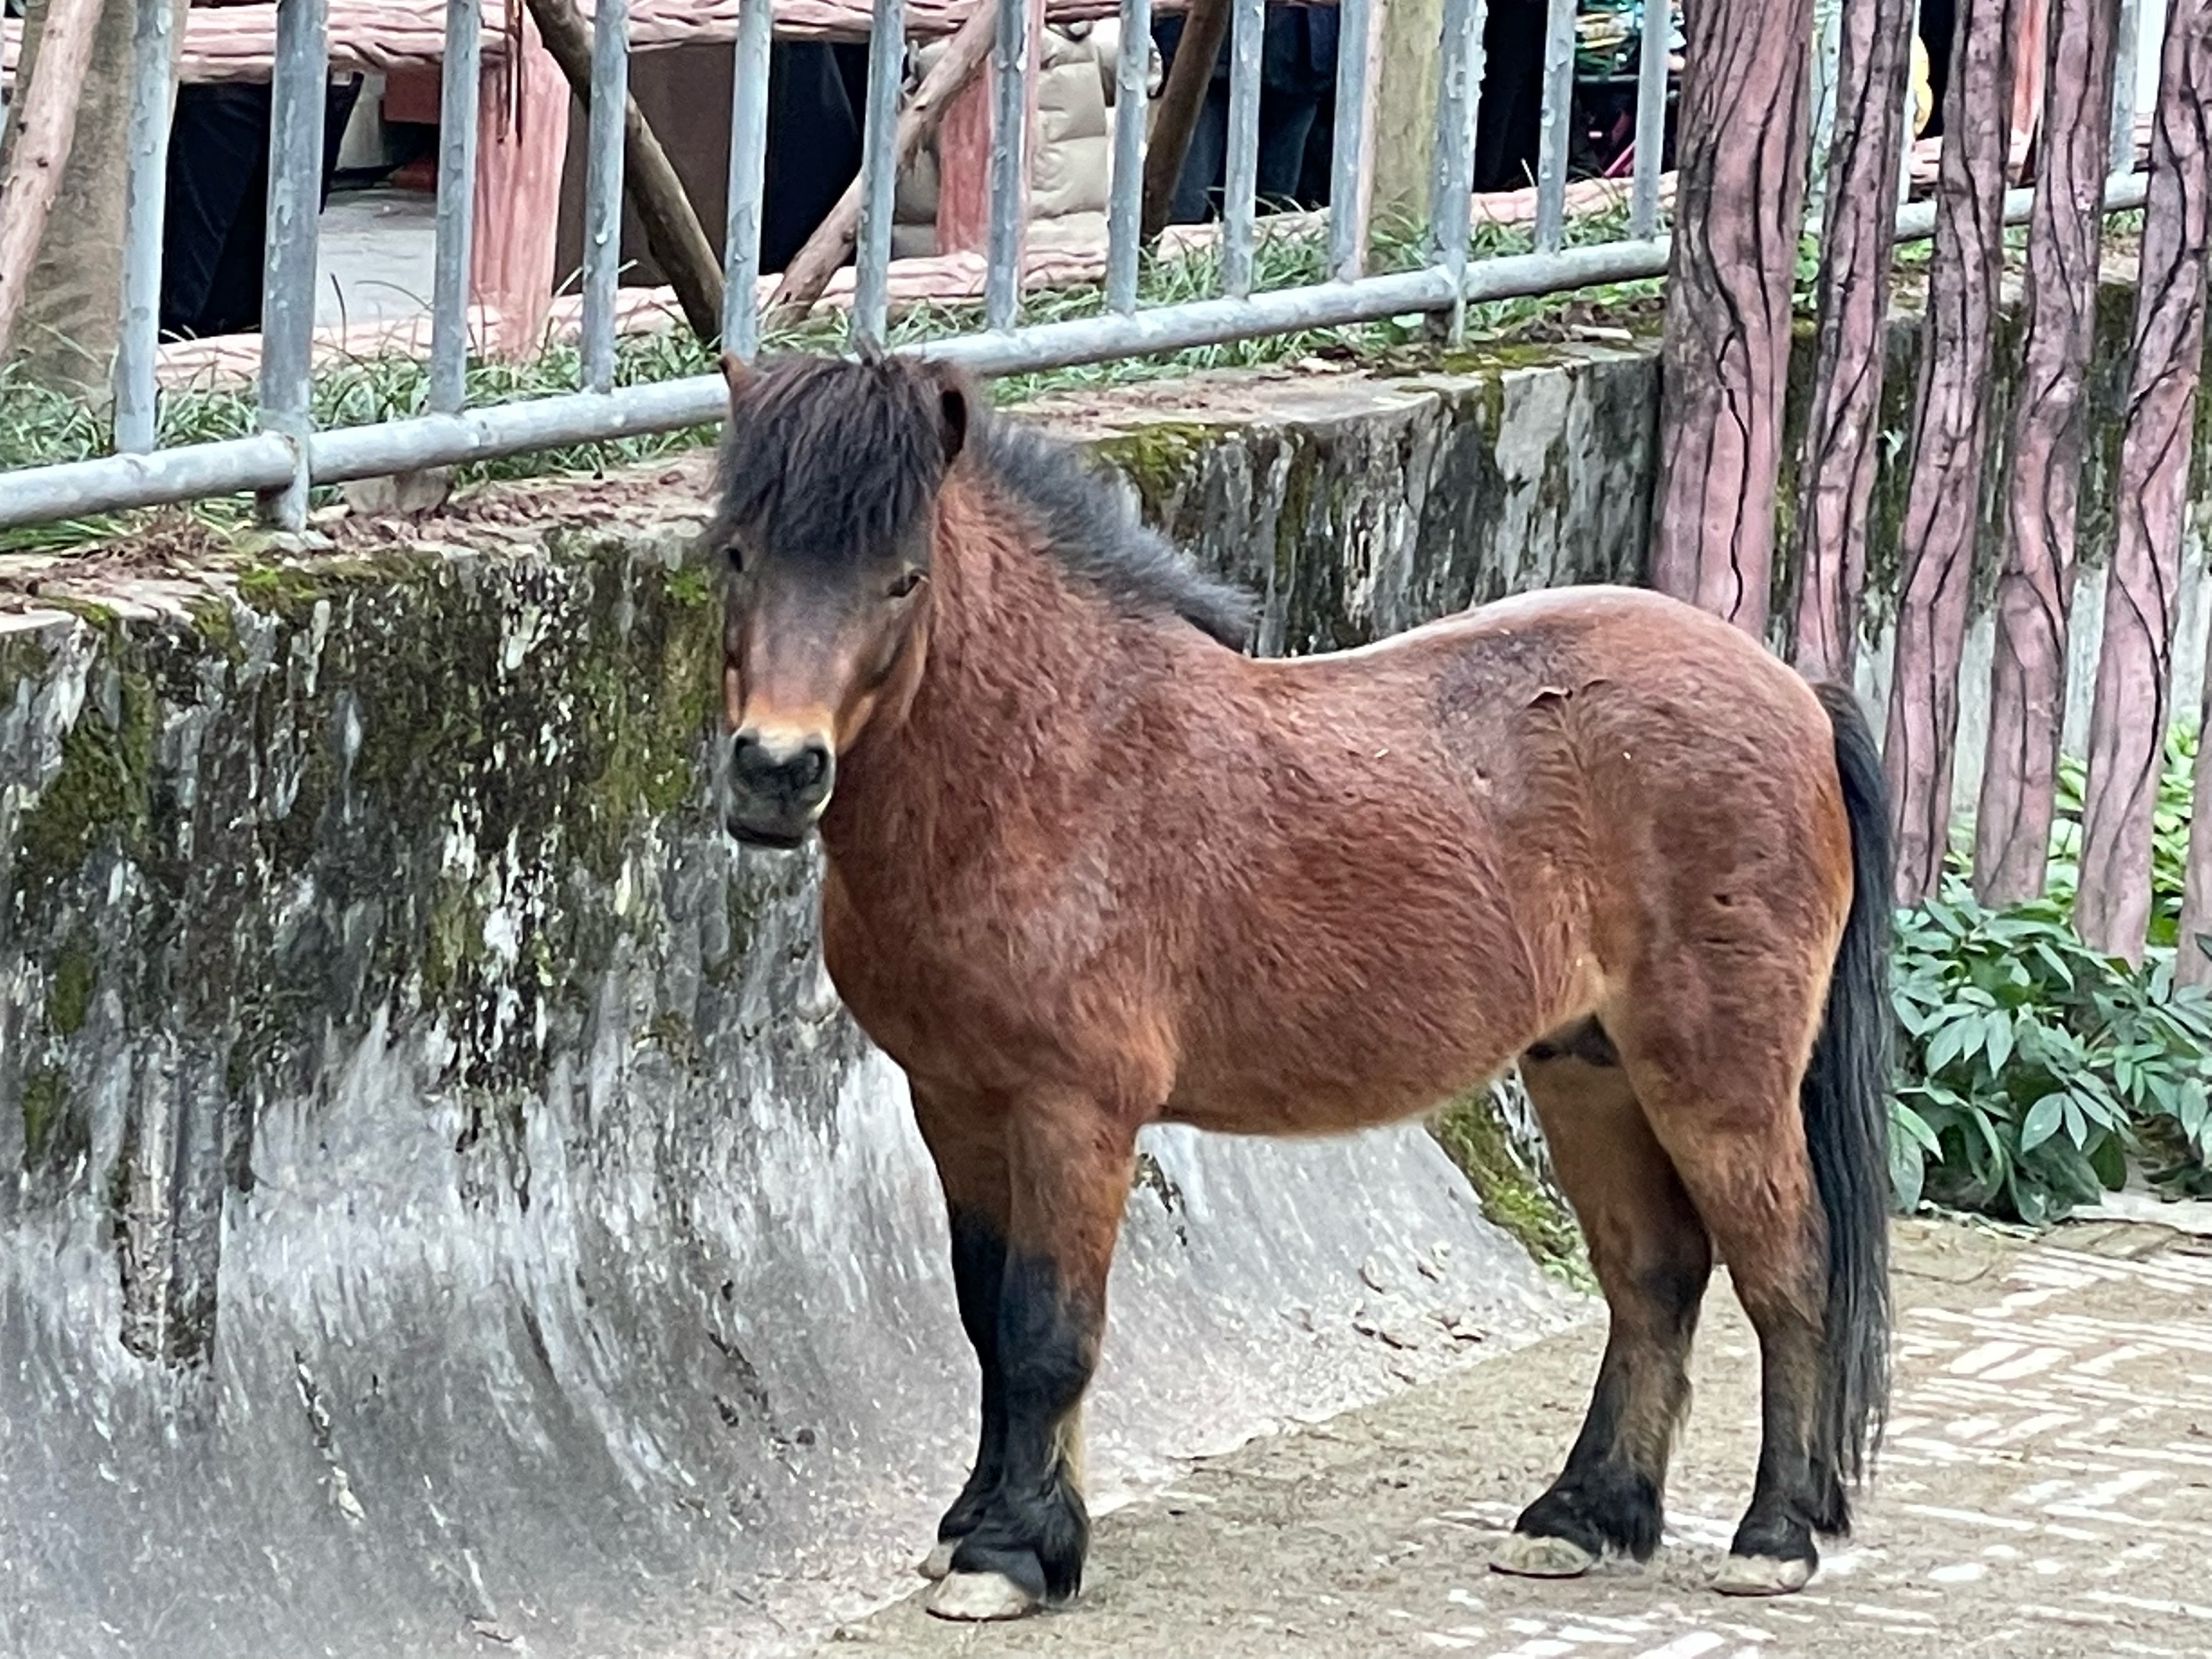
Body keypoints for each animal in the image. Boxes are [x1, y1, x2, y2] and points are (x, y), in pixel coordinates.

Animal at [706, 349, 1894, 1623]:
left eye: (903, 579)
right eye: (736, 555)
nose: (776, 773)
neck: (1049, 769)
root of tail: (1793, 691)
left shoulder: (1075, 1112)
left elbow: (1045, 1330)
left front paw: (1014, 1553)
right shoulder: (957, 1102)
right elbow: (986, 1319)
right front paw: (975, 1526)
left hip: (1718, 1076)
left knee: (1789, 1270)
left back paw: (1773, 1536)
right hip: (1589, 1067)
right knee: (1655, 1277)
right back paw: (1581, 1517)